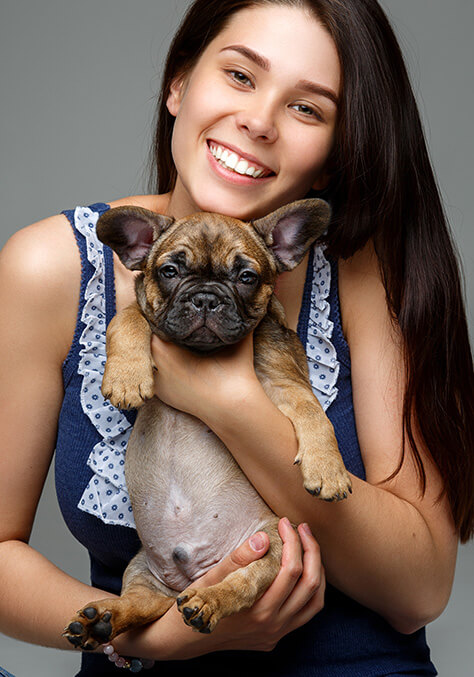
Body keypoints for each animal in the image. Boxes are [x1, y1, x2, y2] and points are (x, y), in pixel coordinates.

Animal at [63, 198, 352, 650]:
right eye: (169, 271)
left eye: (247, 277)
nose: (205, 298)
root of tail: (190, 577)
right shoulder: (146, 314)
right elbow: (126, 317)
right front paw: (126, 376)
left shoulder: (285, 383)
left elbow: (314, 414)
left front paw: (328, 470)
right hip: (142, 567)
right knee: (145, 603)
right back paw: (102, 619)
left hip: (273, 546)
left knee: (242, 584)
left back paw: (207, 602)